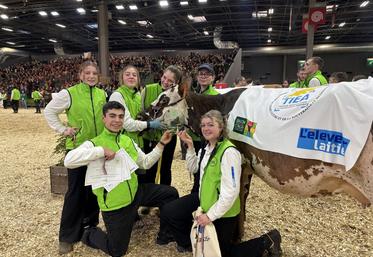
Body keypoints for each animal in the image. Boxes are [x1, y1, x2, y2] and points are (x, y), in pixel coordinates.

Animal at [137, 82, 372, 238]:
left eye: (164, 99)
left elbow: (238, 200)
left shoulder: (239, 162)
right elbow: (244, 199)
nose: (141, 115)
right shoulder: (248, 167)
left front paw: (236, 237)